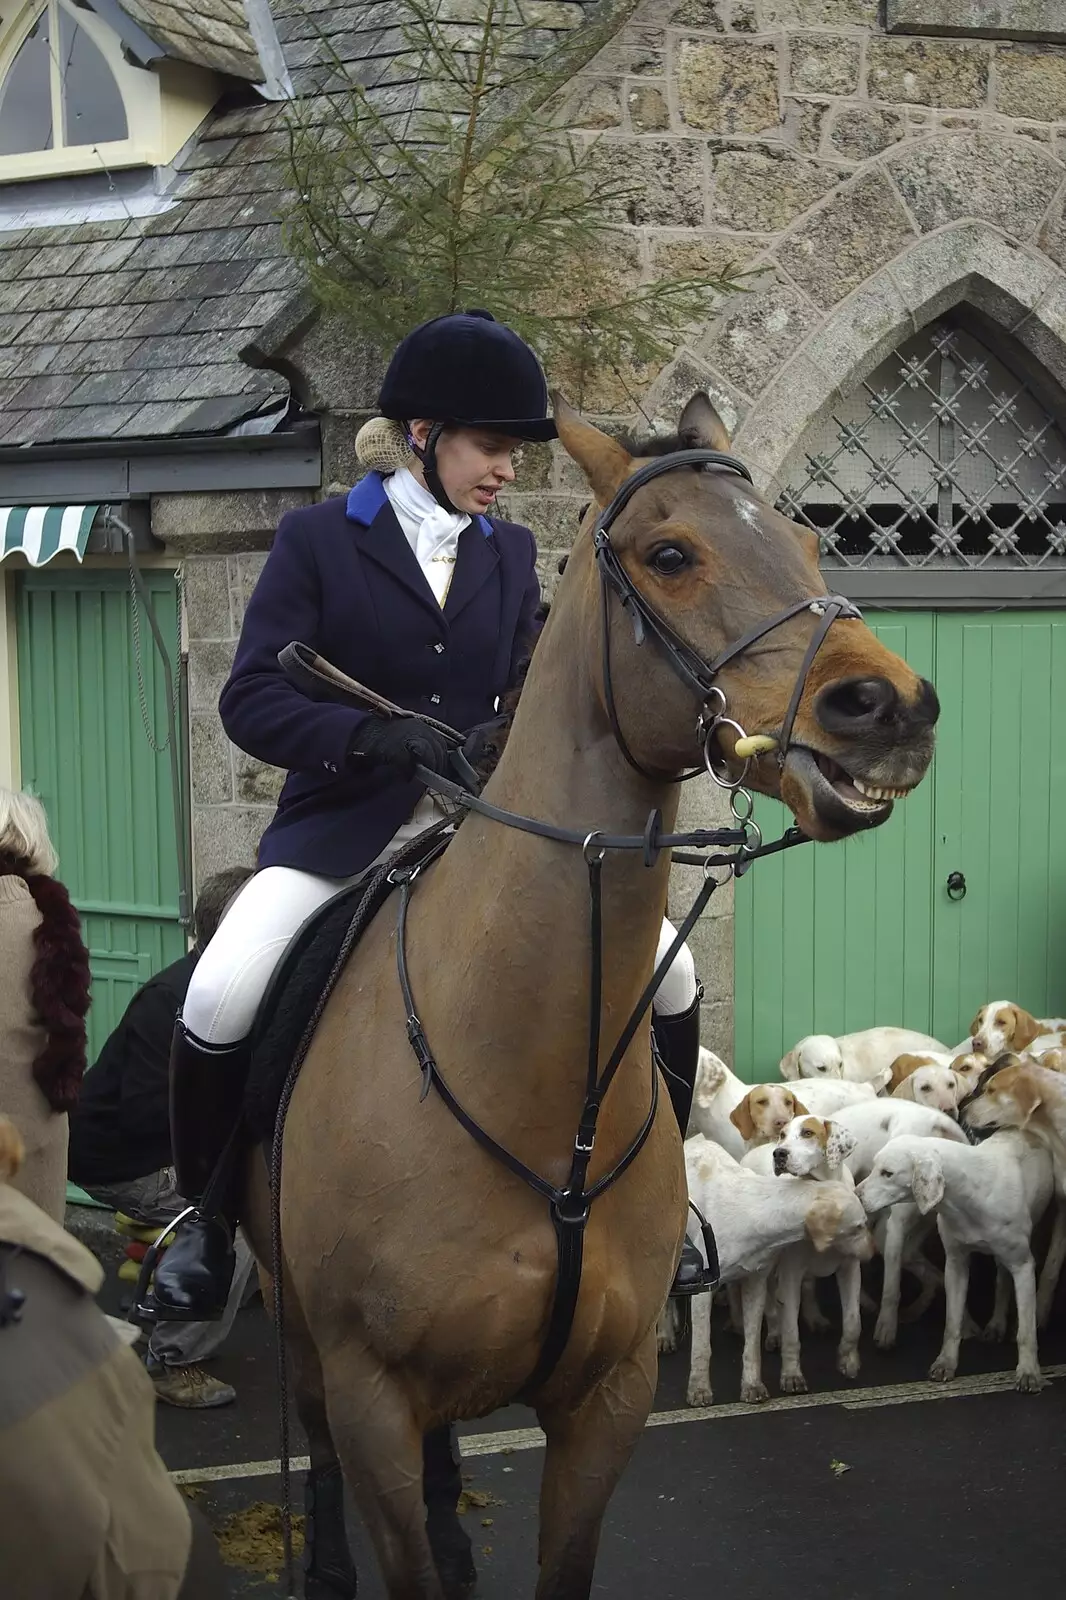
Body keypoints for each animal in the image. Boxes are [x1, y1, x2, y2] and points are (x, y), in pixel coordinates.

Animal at [244, 390, 934, 1600]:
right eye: (670, 555)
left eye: (808, 541)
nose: (889, 706)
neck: (525, 1083)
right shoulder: (373, 1393)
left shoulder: (606, 1401)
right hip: (300, 1332)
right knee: (317, 1442)